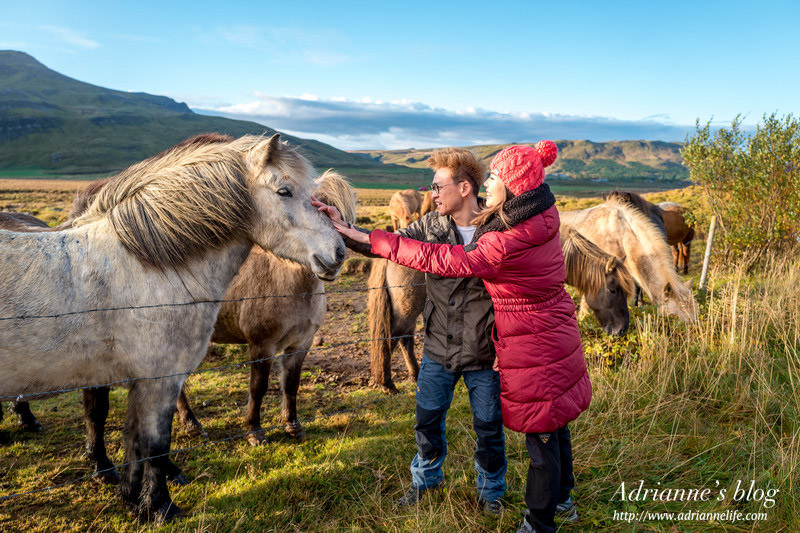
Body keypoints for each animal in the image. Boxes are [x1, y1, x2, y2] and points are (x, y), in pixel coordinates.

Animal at [0, 133, 346, 520]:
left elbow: (134, 440)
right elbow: (154, 442)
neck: (146, 266)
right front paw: (161, 507)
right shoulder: (159, 377)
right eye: (284, 191)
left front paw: (133, 500)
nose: (338, 252)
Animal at [368, 224, 636, 390]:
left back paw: (413, 376)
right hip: (407, 308)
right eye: (614, 289)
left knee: (405, 339)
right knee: (394, 338)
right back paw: (388, 383)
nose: (622, 329)